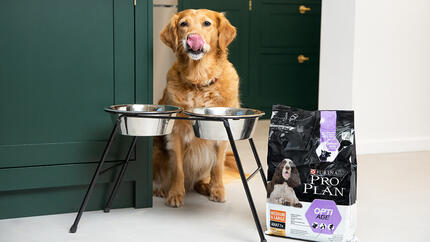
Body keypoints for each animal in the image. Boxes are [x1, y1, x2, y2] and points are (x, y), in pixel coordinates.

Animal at [153, 8, 239, 207]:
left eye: (207, 23)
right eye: (183, 24)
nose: (192, 38)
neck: (199, 82)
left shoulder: (222, 133)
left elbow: (217, 167)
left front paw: (217, 190)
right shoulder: (176, 133)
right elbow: (177, 169)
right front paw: (175, 194)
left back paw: (205, 186)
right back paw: (160, 189)